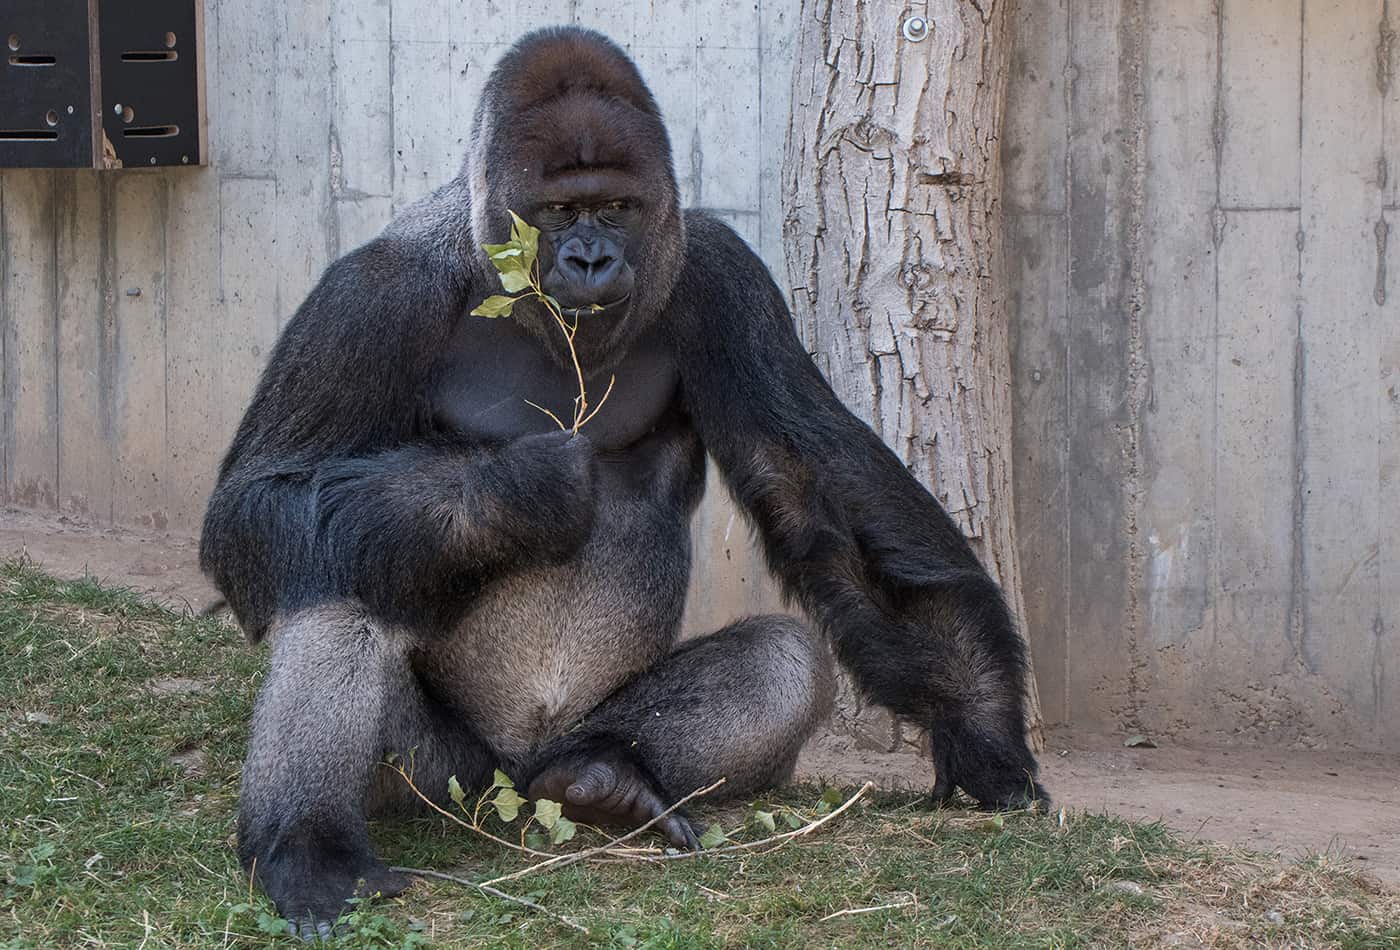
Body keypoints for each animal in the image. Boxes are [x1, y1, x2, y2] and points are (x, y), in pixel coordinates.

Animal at [200, 26, 1052, 940]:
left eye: (615, 208)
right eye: (558, 213)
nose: (591, 257)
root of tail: (511, 789)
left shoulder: (722, 274)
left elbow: (808, 480)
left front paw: (978, 721)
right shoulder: (372, 291)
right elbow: (258, 499)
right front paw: (512, 491)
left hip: (547, 756)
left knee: (779, 659)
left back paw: (604, 778)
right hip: (441, 784)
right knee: (346, 562)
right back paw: (309, 849)